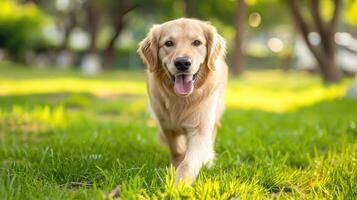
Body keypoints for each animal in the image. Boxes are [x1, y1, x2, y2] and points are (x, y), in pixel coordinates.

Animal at [138, 18, 227, 185]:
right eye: (169, 43)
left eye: (197, 42)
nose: (182, 63)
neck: (181, 100)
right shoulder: (167, 126)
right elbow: (177, 151)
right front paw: (173, 168)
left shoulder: (200, 129)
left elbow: (188, 162)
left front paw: (179, 184)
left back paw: (208, 161)